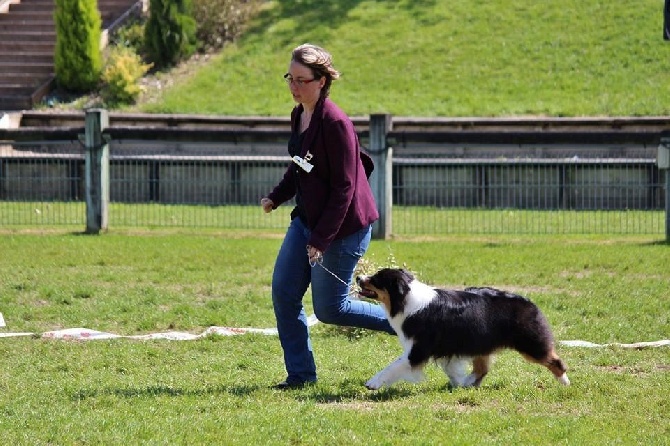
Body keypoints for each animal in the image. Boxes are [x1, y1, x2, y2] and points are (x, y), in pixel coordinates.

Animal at [354, 268, 568, 390]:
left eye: (376, 278)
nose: (357, 277)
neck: (406, 299)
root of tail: (531, 303)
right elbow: (452, 369)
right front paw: (457, 384)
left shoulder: (418, 350)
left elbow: (394, 365)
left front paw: (373, 383)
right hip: (482, 343)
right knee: (482, 369)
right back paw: (467, 383)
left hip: (530, 344)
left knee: (554, 360)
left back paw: (565, 383)